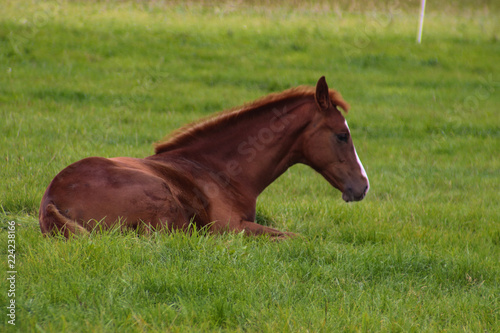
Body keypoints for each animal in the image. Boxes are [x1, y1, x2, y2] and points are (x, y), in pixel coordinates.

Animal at [38, 77, 368, 239]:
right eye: (342, 135)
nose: (363, 186)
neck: (221, 171)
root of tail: (52, 199)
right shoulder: (231, 226)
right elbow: (297, 237)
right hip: (163, 200)